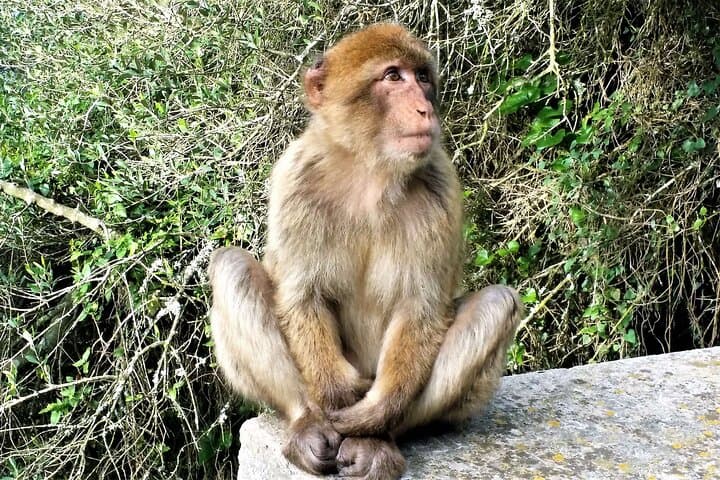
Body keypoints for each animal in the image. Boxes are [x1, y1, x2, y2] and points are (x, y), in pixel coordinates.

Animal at [208, 23, 522, 479]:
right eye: (392, 76)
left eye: (422, 77)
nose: (424, 110)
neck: (370, 172)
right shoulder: (295, 181)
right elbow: (302, 296)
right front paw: (336, 393)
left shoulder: (442, 189)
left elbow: (420, 309)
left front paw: (373, 416)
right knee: (231, 266)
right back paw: (308, 421)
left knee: (497, 303)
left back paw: (374, 435)